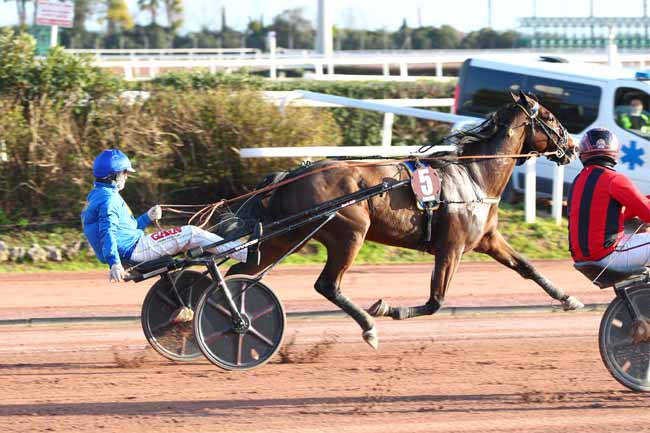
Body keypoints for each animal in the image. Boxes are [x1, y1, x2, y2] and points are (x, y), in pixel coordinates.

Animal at [227, 91, 576, 348]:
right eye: (550, 118)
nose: (571, 146)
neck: (474, 176)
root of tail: (291, 174)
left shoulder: (488, 240)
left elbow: (526, 267)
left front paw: (568, 298)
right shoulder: (450, 248)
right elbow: (436, 301)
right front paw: (388, 309)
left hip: (285, 237)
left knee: (237, 274)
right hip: (349, 233)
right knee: (327, 284)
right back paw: (368, 327)